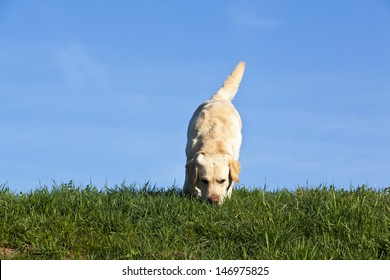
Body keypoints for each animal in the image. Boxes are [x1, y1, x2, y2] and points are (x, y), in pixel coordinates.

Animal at [184, 61, 245, 206]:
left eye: (222, 180)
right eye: (204, 181)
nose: (213, 200)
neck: (213, 143)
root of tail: (220, 98)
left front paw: (226, 196)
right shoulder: (189, 156)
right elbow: (190, 181)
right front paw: (193, 191)